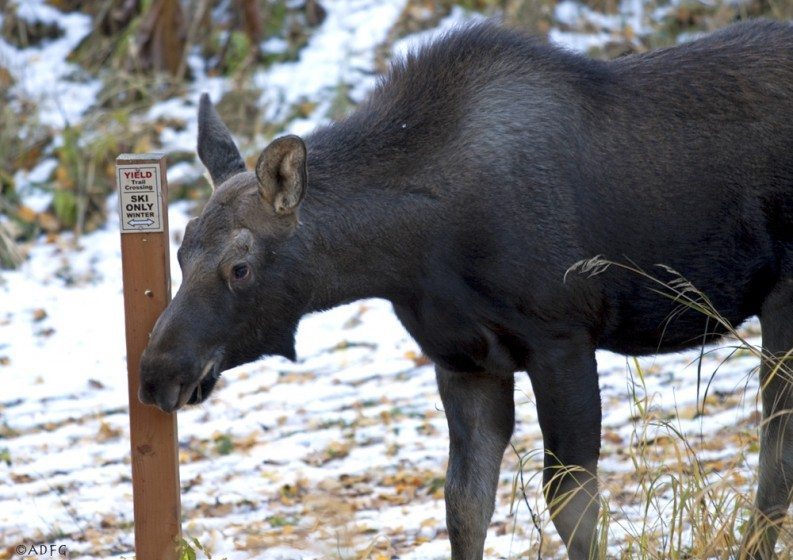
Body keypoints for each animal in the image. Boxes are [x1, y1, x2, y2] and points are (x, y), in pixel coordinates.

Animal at [139, 19, 792, 556]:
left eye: (240, 267)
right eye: (180, 251)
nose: (155, 372)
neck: (412, 253)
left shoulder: (561, 341)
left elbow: (572, 507)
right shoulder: (463, 362)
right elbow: (464, 506)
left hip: (784, 296)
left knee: (775, 450)